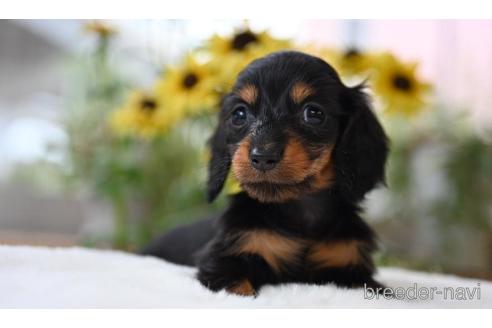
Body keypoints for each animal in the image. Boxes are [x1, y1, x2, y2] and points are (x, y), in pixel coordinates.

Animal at [142, 51, 388, 298]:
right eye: (239, 114)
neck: (298, 210)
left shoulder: (349, 265)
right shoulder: (227, 259)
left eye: (314, 113)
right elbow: (238, 289)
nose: (262, 156)